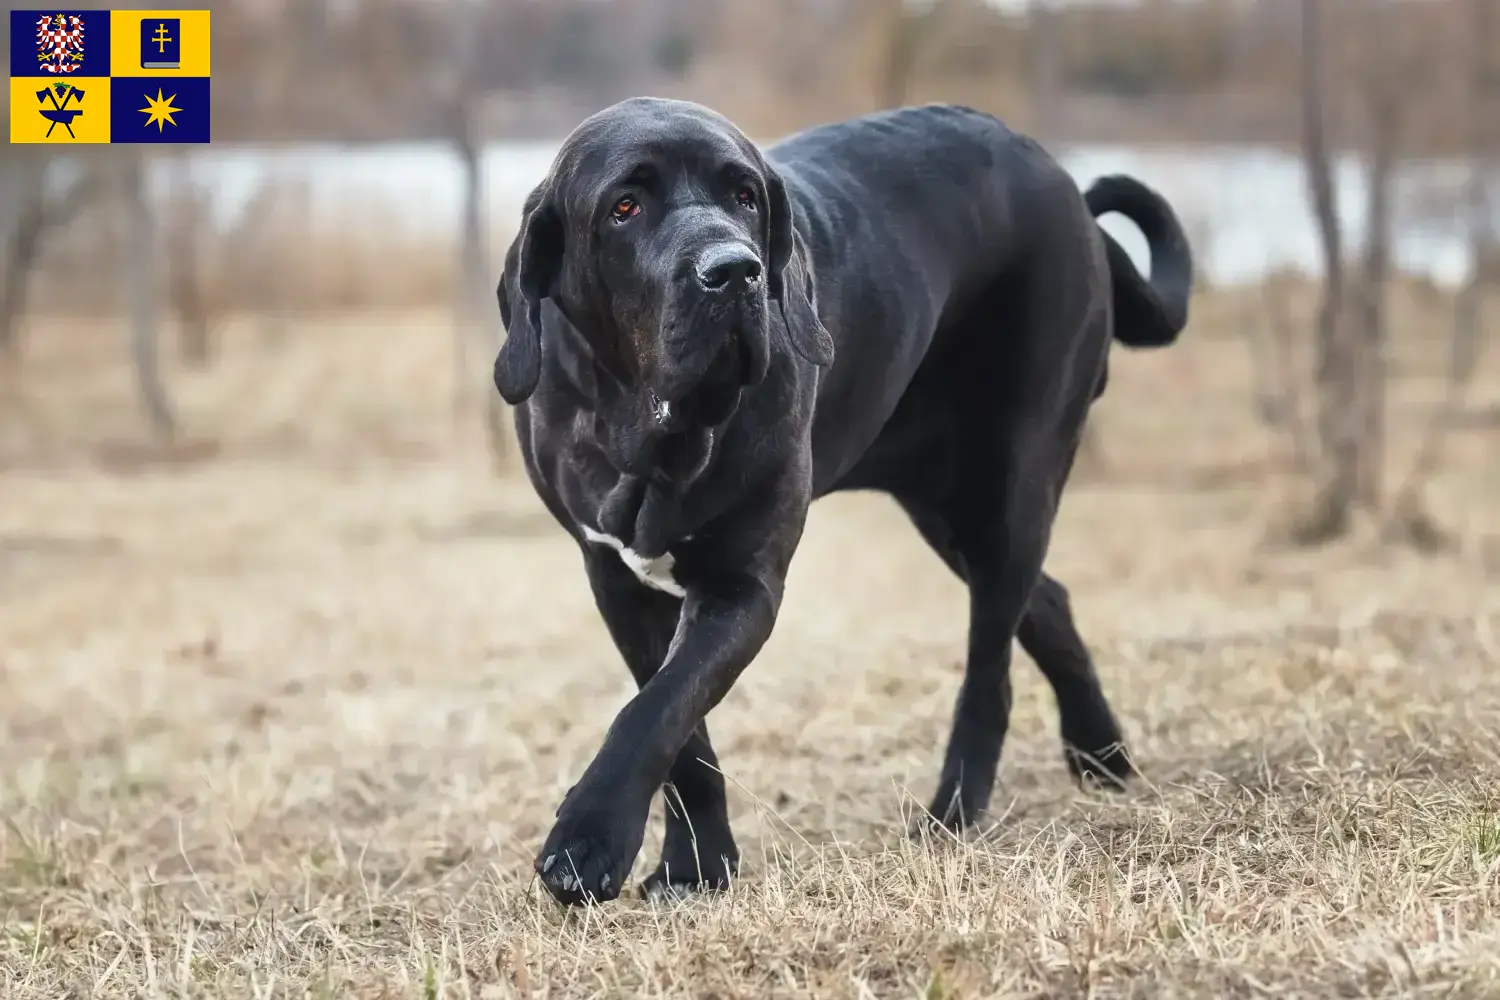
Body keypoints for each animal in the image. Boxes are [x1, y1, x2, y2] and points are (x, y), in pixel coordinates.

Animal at [498, 99, 1188, 905]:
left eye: (744, 196)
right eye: (624, 207)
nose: (734, 271)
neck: (652, 432)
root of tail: (1065, 184)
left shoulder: (742, 586)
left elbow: (657, 710)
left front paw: (588, 842)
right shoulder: (616, 579)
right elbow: (680, 732)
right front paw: (695, 867)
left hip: (1012, 485)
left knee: (989, 669)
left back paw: (952, 813)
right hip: (944, 507)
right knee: (1046, 600)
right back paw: (1099, 753)